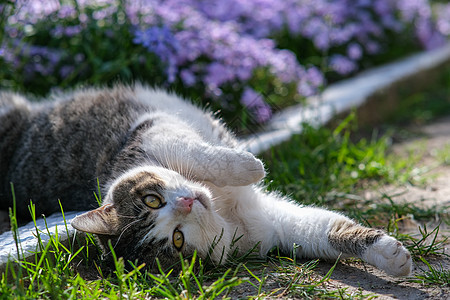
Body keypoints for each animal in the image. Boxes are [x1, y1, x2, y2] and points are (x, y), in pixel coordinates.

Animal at [0, 84, 414, 276]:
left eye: (152, 199)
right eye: (177, 239)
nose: (187, 202)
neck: (222, 205)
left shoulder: (150, 135)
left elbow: (195, 151)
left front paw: (248, 164)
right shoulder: (271, 227)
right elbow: (321, 230)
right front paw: (394, 259)